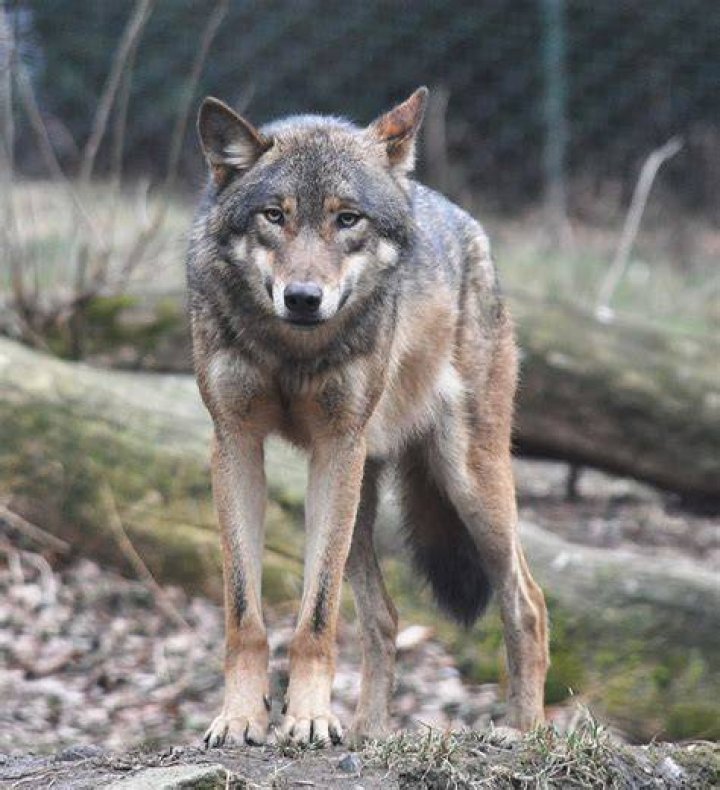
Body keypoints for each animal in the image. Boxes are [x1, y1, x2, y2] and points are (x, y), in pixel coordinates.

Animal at [188, 87, 549, 748]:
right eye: (274, 216)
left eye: (347, 219)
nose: (303, 298)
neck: (293, 351)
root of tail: (465, 221)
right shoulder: (235, 443)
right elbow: (244, 613)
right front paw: (242, 717)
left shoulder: (337, 445)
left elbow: (316, 616)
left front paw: (306, 719)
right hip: (356, 496)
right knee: (385, 617)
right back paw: (367, 734)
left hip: (464, 482)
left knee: (526, 601)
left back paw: (524, 732)